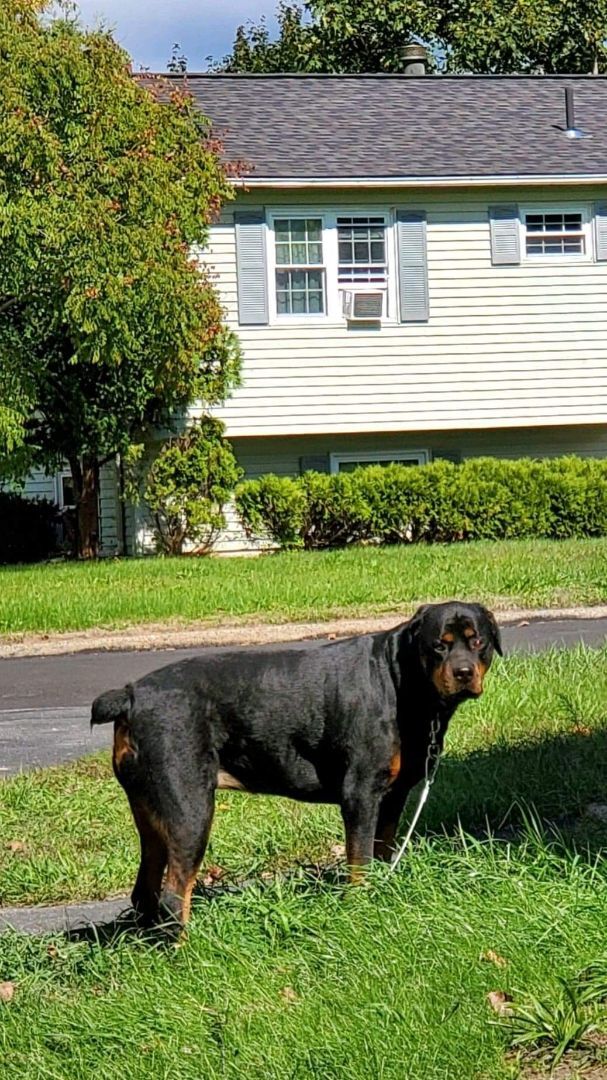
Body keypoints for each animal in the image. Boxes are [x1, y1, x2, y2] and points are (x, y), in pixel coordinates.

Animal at [90, 600, 501, 928]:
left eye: (477, 642)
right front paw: (360, 905)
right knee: (175, 894)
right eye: (438, 646)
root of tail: (132, 695)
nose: (464, 672)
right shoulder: (361, 794)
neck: (403, 682)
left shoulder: (392, 797)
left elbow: (382, 851)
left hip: (150, 810)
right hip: (189, 808)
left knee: (145, 890)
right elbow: (360, 861)